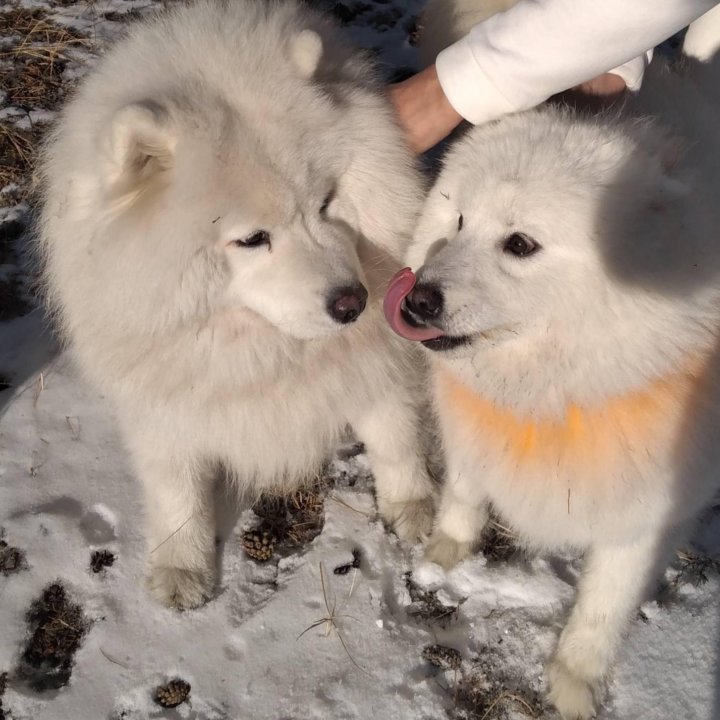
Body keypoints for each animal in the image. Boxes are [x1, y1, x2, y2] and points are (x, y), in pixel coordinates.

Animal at [39, 0, 434, 612]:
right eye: (251, 239)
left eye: (326, 204)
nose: (353, 303)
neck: (261, 350)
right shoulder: (164, 396)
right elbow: (177, 488)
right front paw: (182, 568)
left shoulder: (376, 360)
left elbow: (395, 435)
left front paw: (412, 507)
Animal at [386, 26, 720, 720]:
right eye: (459, 220)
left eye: (520, 245)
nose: (417, 301)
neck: (558, 396)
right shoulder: (476, 434)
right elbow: (464, 494)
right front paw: (443, 554)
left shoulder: (644, 515)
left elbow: (602, 609)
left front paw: (573, 683)